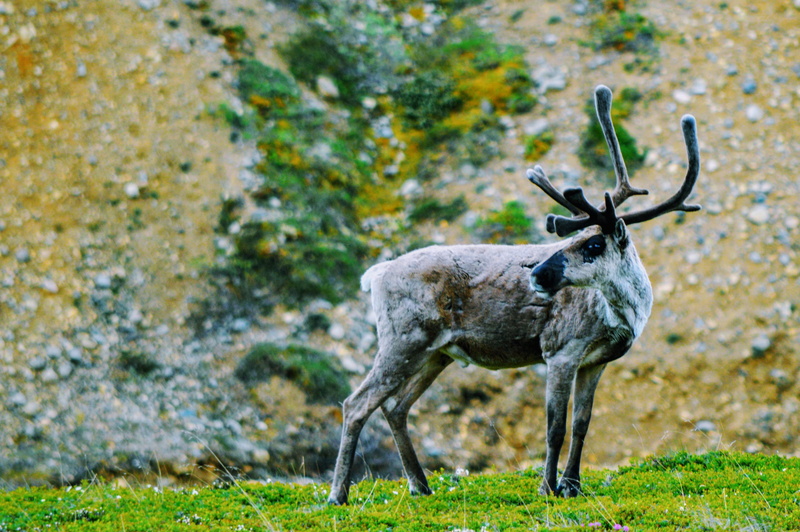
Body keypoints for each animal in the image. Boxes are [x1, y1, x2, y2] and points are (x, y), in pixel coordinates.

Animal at [328, 85, 701, 505]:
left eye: (593, 244)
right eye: (572, 238)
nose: (537, 273)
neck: (620, 314)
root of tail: (375, 274)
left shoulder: (596, 362)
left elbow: (582, 424)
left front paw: (573, 485)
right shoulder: (561, 351)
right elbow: (555, 426)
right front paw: (548, 486)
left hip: (436, 353)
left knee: (395, 407)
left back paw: (420, 485)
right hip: (402, 339)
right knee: (356, 403)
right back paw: (338, 494)